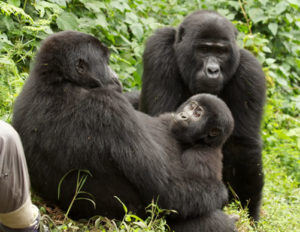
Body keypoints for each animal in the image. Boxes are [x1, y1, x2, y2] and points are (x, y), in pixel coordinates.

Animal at [12, 31, 237, 232]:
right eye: (105, 62)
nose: (115, 76)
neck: (58, 81)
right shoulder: (108, 105)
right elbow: (165, 190)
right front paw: (221, 193)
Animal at [139, 9, 266, 221]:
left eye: (221, 52)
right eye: (203, 50)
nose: (212, 70)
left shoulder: (251, 71)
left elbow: (242, 147)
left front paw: (249, 214)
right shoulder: (158, 49)